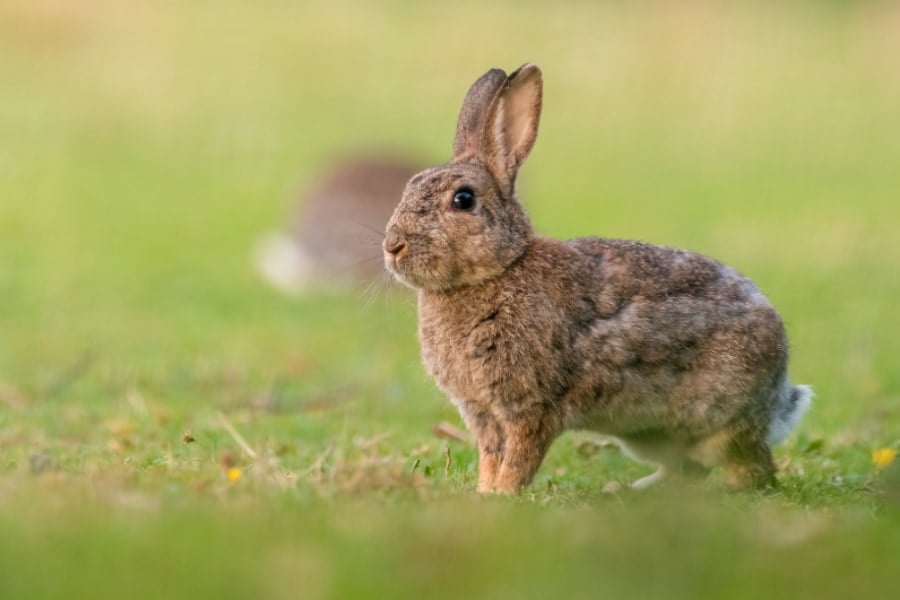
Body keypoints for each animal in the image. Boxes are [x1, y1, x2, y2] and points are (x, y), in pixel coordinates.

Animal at [384, 64, 812, 492]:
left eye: (464, 199)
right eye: (410, 185)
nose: (392, 245)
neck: (499, 269)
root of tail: (777, 392)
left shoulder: (531, 406)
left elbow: (519, 458)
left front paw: (503, 494)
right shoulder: (484, 413)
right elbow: (491, 456)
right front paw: (484, 494)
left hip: (720, 422)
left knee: (753, 470)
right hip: (650, 435)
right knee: (687, 470)